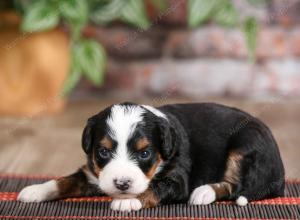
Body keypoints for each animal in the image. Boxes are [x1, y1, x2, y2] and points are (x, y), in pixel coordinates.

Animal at [17, 103, 284, 211]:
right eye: (103, 151)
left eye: (145, 153)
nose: (122, 184)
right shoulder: (93, 172)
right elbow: (65, 180)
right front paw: (35, 190)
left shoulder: (177, 179)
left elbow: (153, 187)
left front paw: (127, 200)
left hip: (245, 145)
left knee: (235, 186)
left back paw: (203, 192)